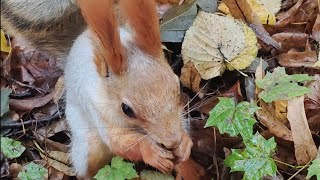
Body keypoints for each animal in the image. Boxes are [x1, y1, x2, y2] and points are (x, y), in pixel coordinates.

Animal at [1, 0, 204, 178]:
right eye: (126, 109)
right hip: (88, 146)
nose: (172, 141)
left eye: (177, 88)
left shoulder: (179, 116)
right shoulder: (98, 109)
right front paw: (151, 153)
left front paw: (184, 145)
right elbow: (119, 142)